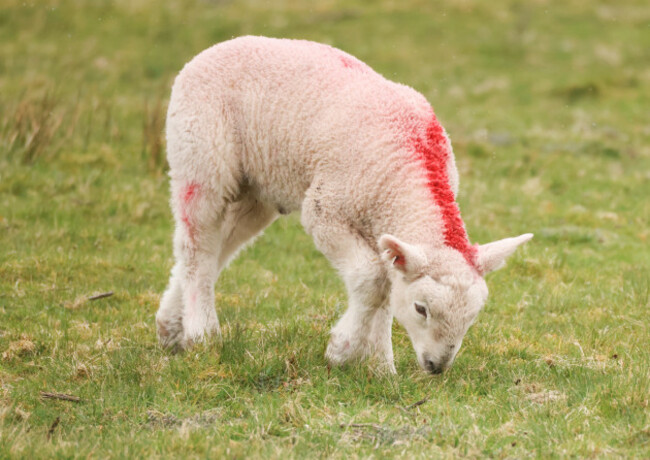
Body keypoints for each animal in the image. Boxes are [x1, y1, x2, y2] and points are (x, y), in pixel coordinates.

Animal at [155, 36, 533, 374]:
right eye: (421, 309)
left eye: (473, 316)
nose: (436, 366)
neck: (414, 171)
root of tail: (210, 50)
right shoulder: (327, 208)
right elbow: (371, 279)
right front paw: (342, 350)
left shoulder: (382, 225)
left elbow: (386, 286)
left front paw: (380, 367)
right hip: (200, 155)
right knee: (196, 245)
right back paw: (201, 334)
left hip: (257, 187)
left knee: (220, 247)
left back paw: (171, 326)